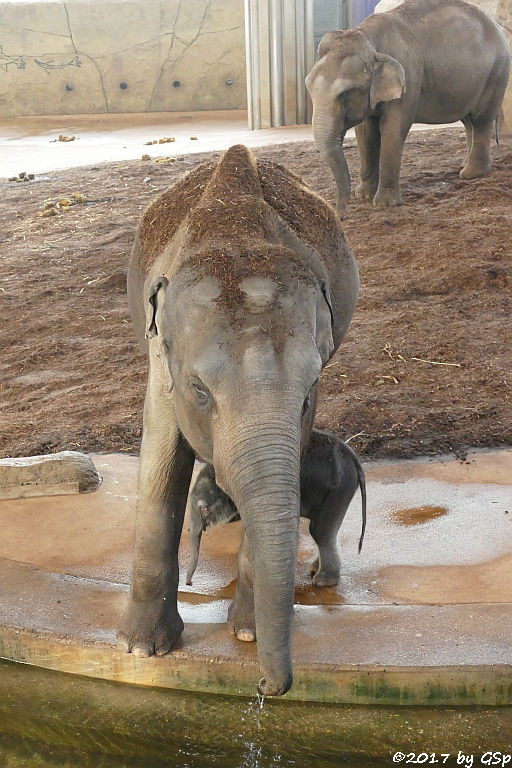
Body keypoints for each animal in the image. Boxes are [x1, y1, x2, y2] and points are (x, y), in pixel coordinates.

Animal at [186, 428, 366, 592]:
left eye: (204, 508)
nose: (189, 584)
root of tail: (353, 457)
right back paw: (315, 569)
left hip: (338, 490)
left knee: (320, 531)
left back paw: (322, 582)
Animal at [306, 0, 510, 212]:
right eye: (308, 87)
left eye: (346, 92)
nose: (341, 211)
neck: (370, 39)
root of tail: (496, 25)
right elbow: (365, 134)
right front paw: (363, 195)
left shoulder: (409, 79)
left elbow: (393, 130)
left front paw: (384, 204)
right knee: (469, 121)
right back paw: (463, 166)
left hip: (496, 73)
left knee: (481, 120)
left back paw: (472, 174)